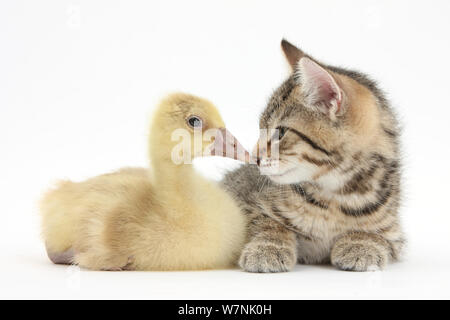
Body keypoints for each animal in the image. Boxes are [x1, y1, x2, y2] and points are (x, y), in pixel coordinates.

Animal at [223, 38, 406, 272]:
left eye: (280, 133)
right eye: (261, 129)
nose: (253, 158)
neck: (337, 196)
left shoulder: (394, 234)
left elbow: (376, 234)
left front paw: (361, 243)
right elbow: (265, 221)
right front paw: (269, 247)